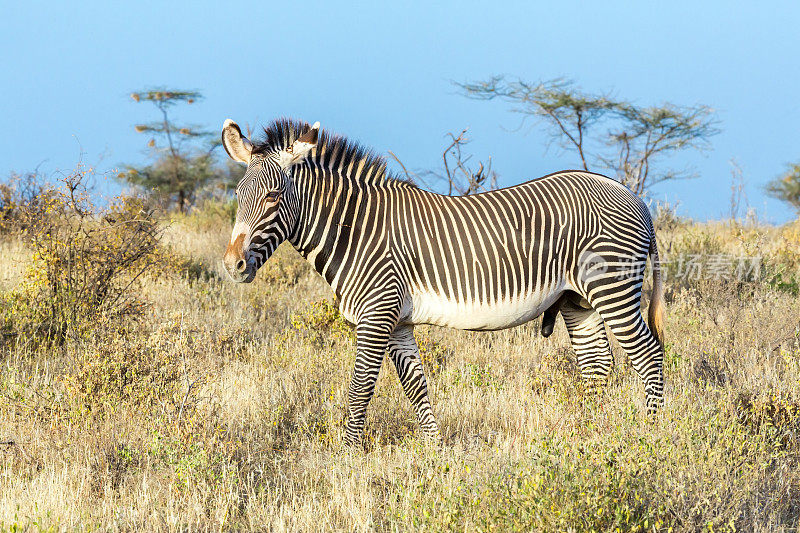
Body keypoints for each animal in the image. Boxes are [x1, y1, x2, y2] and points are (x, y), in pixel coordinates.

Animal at [222, 117, 664, 444]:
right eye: (238, 196)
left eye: (273, 198)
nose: (232, 265)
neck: (356, 230)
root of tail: (633, 196)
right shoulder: (398, 321)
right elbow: (416, 386)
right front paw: (434, 451)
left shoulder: (376, 314)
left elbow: (360, 388)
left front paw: (347, 456)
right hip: (578, 301)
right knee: (597, 364)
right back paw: (588, 437)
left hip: (612, 289)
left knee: (648, 355)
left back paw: (649, 435)